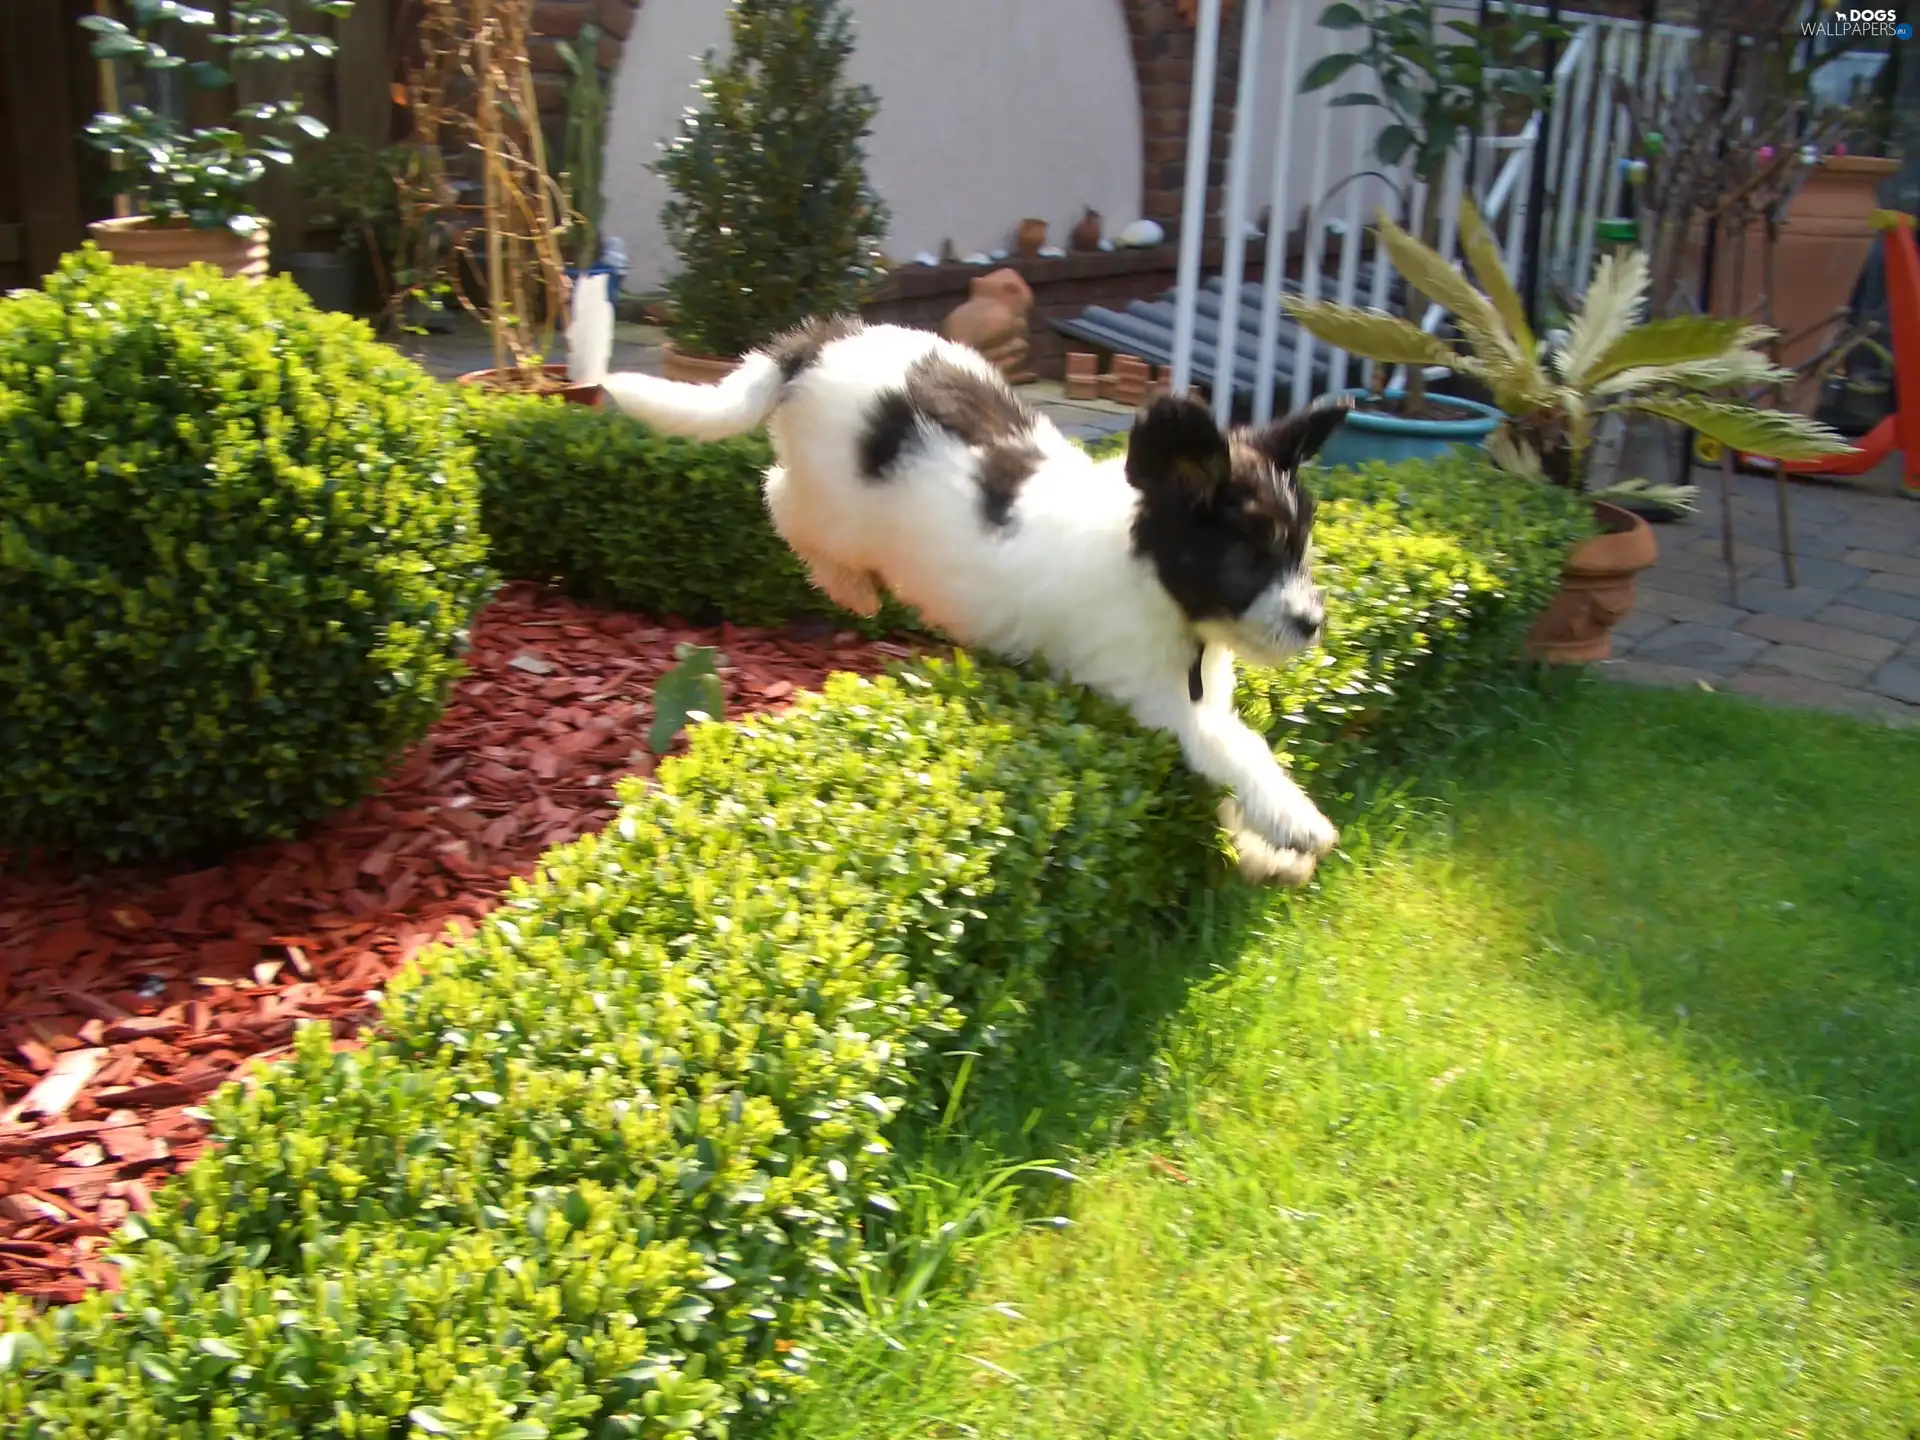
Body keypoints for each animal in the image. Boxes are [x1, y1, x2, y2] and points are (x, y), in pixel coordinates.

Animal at [602, 320, 1351, 887]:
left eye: (1300, 552)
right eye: (1248, 560)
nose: (1311, 625)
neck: (1150, 576)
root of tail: (820, 342)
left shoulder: (1196, 696)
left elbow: (1224, 768)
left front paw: (1261, 853)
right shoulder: (1148, 700)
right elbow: (1234, 750)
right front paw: (1297, 822)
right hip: (835, 502)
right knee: (780, 496)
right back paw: (852, 588)